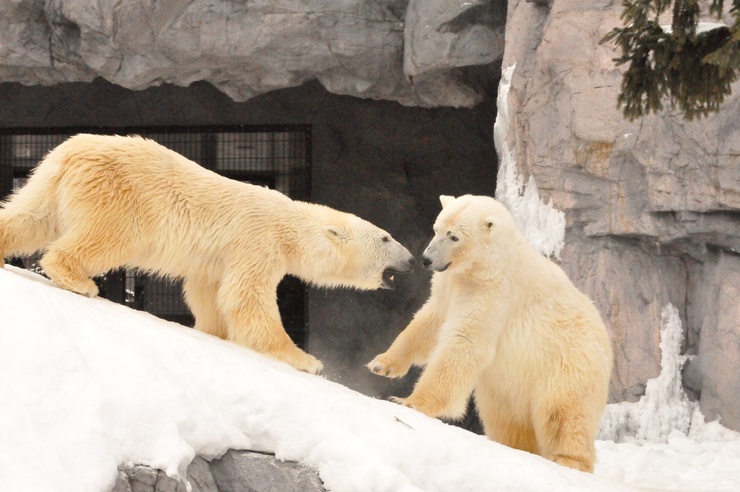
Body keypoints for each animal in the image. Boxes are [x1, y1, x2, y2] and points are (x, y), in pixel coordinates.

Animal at [0, 135, 416, 372]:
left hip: (51, 180)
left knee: (30, 216)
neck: (288, 223)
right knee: (106, 236)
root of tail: (70, 150)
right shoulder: (257, 239)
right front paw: (306, 361)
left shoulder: (219, 259)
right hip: (118, 192)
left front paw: (214, 333)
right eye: (385, 238)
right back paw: (79, 280)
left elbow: (208, 292)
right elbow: (246, 296)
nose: (412, 259)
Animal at [370, 193, 612, 472]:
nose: (427, 259)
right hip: (508, 388)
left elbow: (464, 341)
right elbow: (430, 321)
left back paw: (568, 459)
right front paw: (382, 363)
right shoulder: (451, 286)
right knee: (507, 420)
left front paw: (409, 401)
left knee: (563, 410)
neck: (487, 265)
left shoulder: (495, 292)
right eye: (436, 228)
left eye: (454, 237)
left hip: (570, 363)